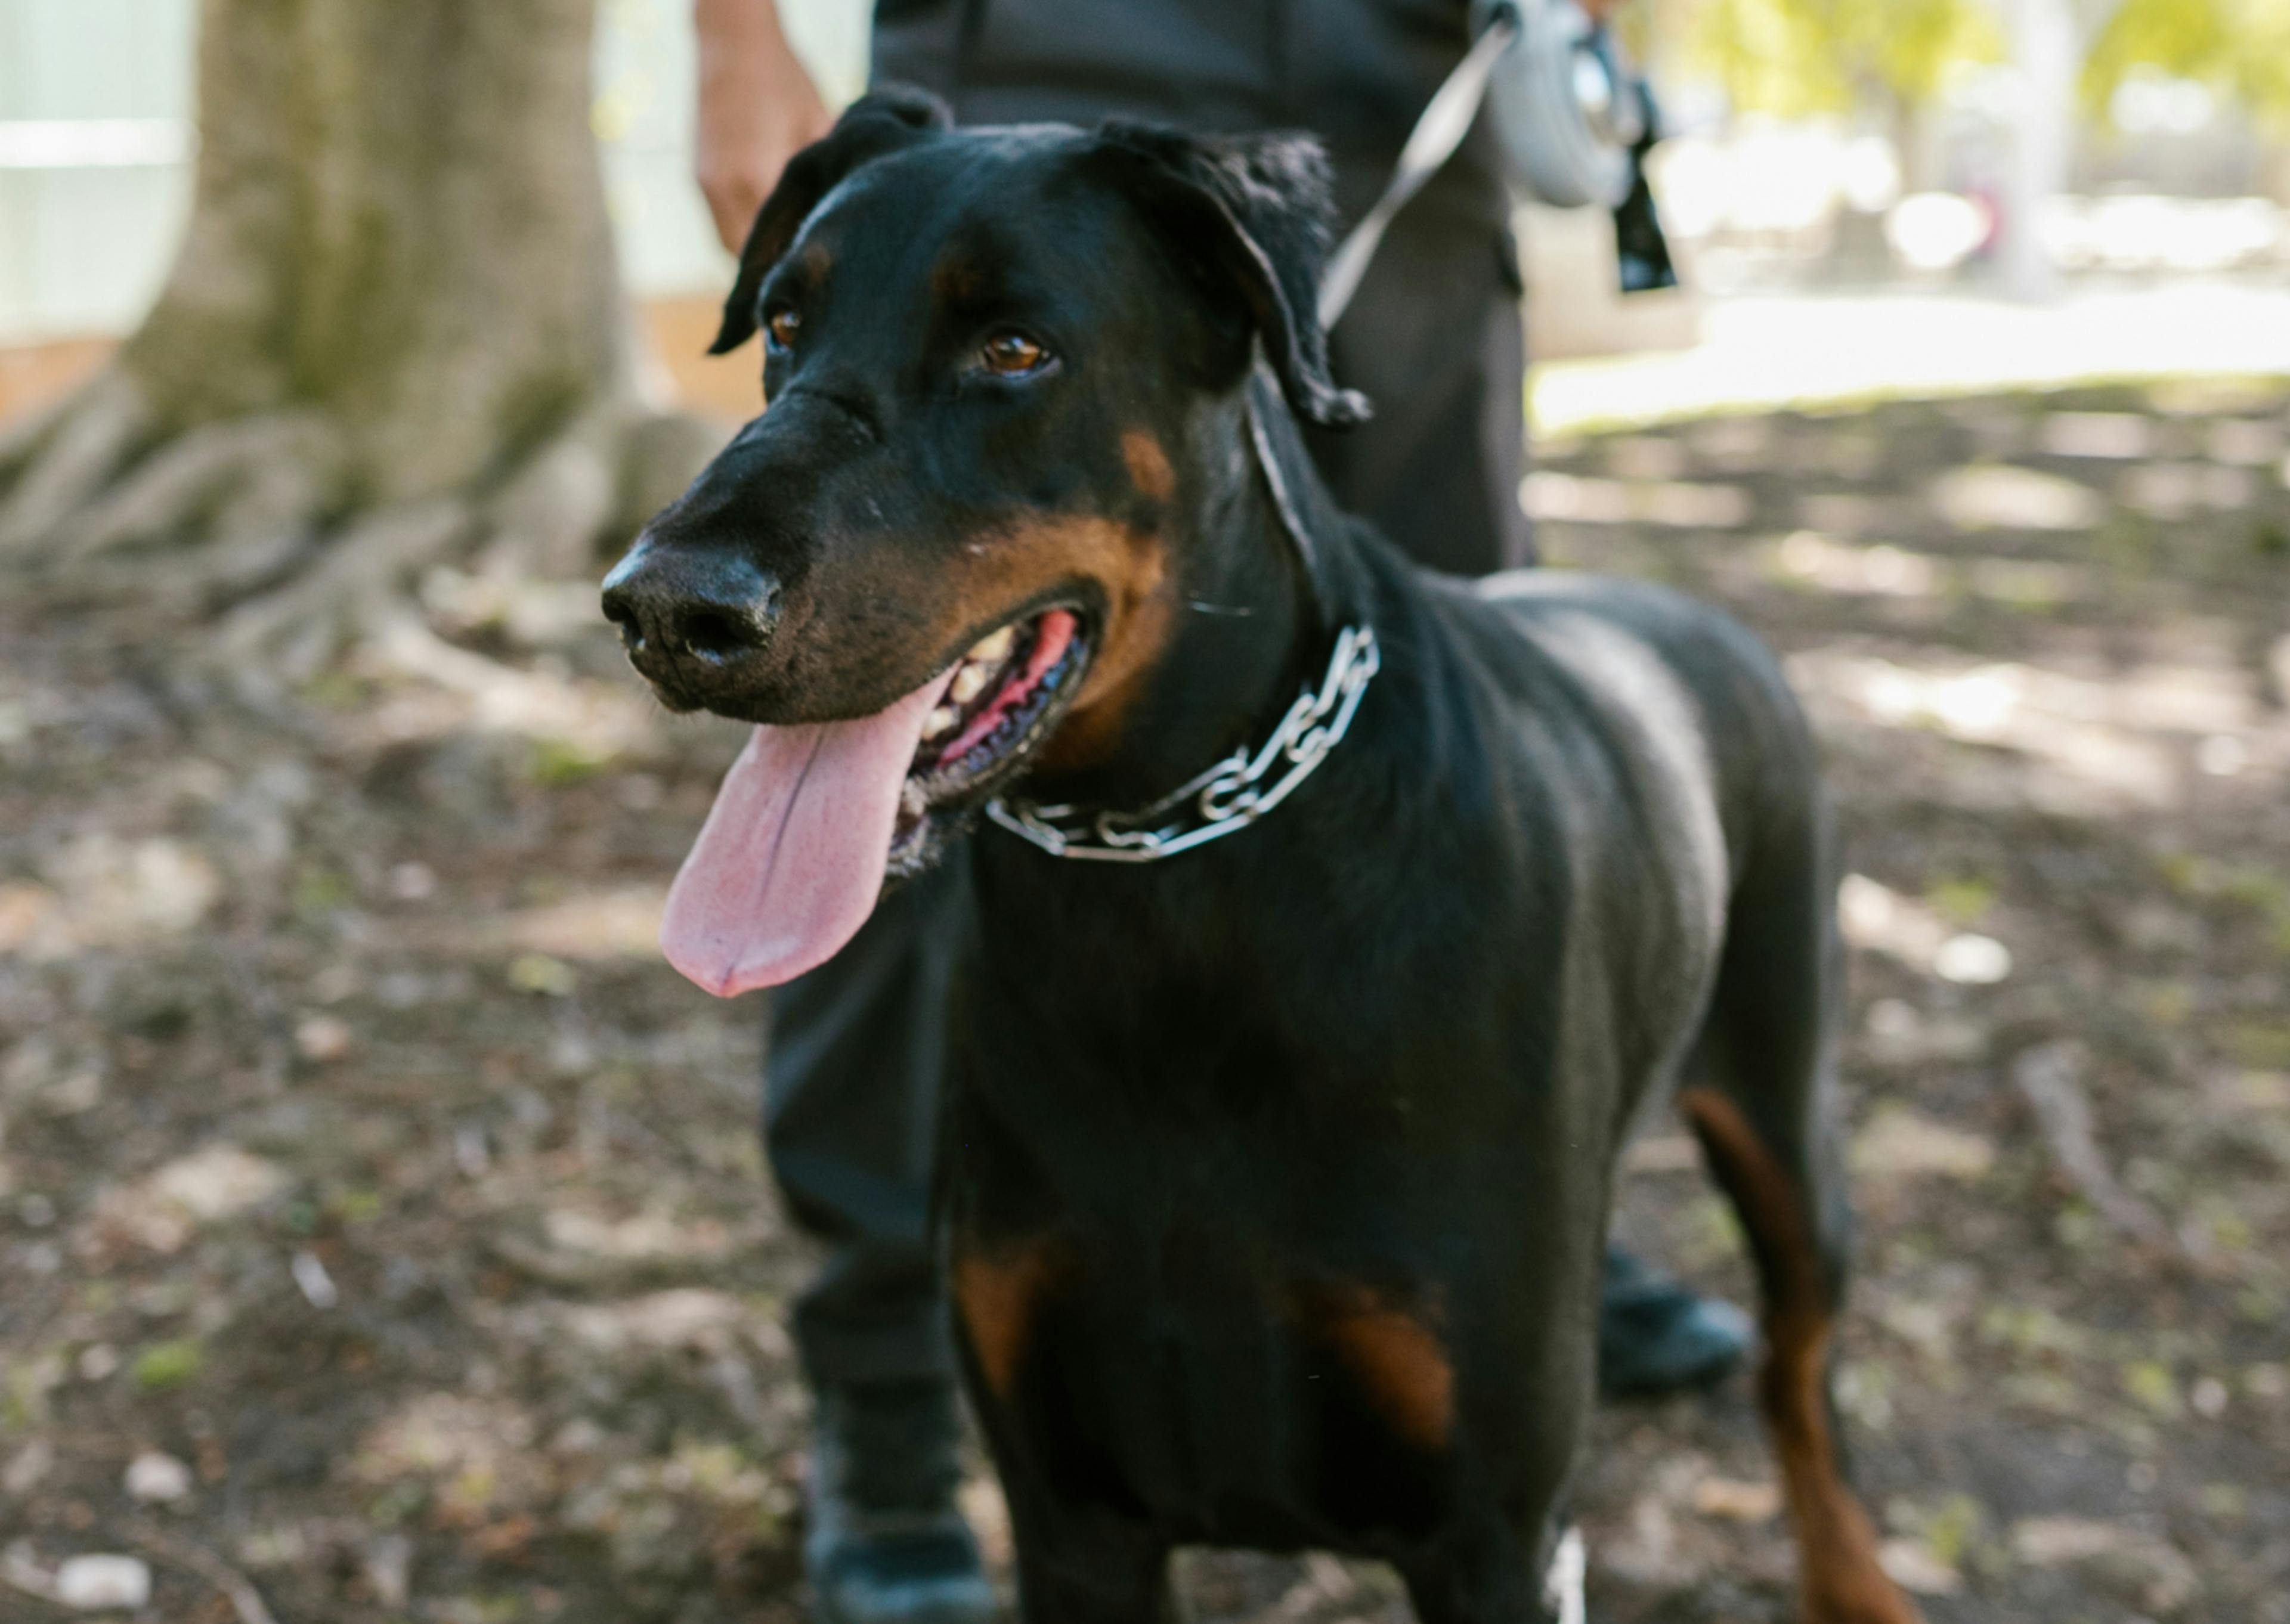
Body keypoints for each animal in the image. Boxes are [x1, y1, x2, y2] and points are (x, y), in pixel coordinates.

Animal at [604, 95, 1914, 1622]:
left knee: (1798, 1376)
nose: (663, 607)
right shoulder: (1069, 1506)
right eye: (783, 327)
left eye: (1014, 349)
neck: (1170, 873)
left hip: (1788, 1112)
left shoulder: (1497, 1532)